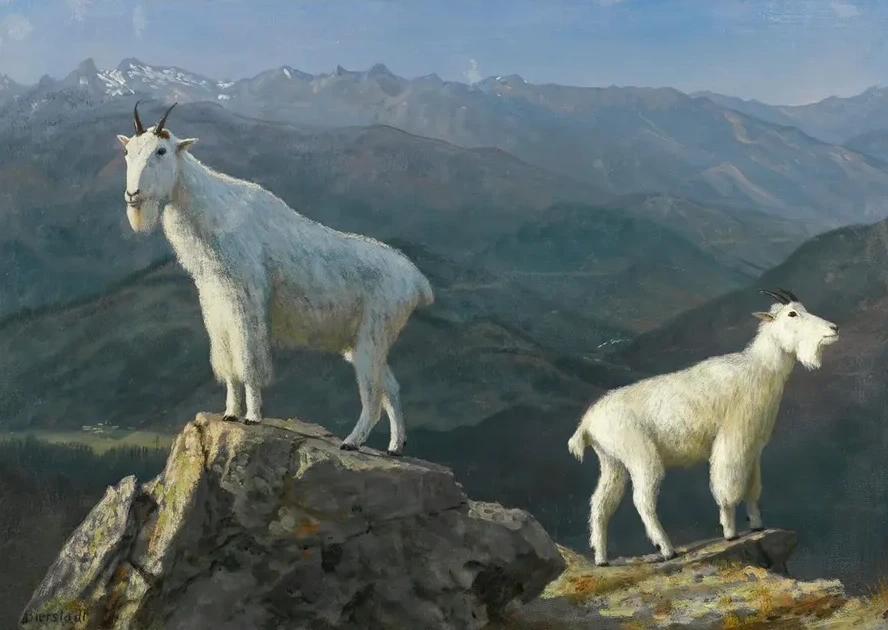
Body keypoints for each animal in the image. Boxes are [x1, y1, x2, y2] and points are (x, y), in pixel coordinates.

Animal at [116, 102, 434, 456]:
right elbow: (228, 363)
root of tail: (418, 282)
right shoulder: (215, 305)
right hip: (363, 341)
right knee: (391, 386)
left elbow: (248, 360)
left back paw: (352, 441)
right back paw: (395, 446)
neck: (213, 213)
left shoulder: (248, 299)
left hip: (373, 334)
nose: (133, 194)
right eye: (128, 151)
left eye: (160, 151)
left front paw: (252, 416)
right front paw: (229, 413)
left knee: (373, 393)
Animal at [568, 288, 839, 565]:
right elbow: (727, 487)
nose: (833, 328)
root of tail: (587, 423)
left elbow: (753, 488)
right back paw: (667, 549)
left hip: (612, 462)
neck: (760, 369)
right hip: (641, 457)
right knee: (642, 501)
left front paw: (757, 525)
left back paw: (602, 559)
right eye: (792, 314)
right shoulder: (732, 438)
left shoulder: (753, 448)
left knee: (600, 505)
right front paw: (730, 533)